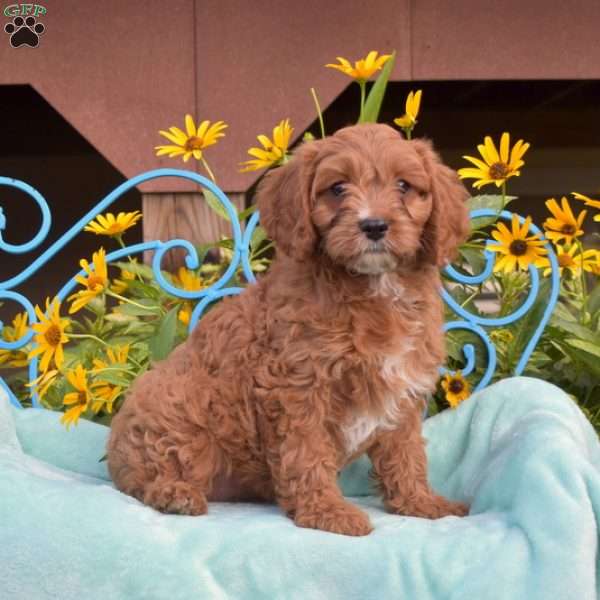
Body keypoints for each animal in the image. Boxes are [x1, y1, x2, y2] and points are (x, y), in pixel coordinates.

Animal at [109, 123, 474, 536]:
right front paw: (327, 512)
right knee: (142, 479)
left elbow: (406, 453)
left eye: (403, 186)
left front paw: (421, 503)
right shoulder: (298, 387)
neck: (374, 286)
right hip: (179, 414)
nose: (374, 225)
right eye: (337, 188)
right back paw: (175, 494)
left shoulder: (401, 388)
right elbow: (307, 452)